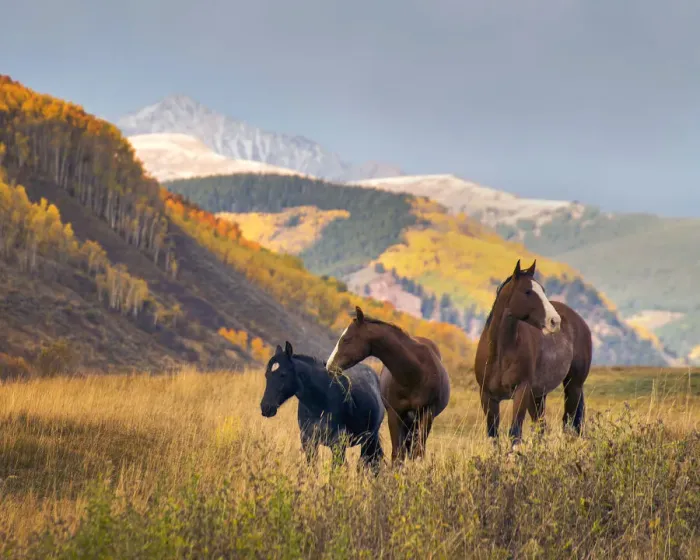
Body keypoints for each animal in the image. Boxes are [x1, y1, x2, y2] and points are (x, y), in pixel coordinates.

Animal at [260, 341, 385, 472]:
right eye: (267, 374)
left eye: (283, 374)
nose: (266, 407)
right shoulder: (308, 441)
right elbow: (312, 467)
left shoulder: (338, 442)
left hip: (369, 439)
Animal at [326, 306, 450, 464]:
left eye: (346, 339)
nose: (329, 365)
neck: (414, 374)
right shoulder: (394, 414)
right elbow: (397, 454)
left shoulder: (427, 413)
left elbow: (418, 452)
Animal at [474, 259, 592, 445]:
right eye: (527, 291)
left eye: (543, 290)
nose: (554, 321)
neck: (500, 354)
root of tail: (579, 321)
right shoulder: (488, 397)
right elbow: (494, 436)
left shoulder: (521, 392)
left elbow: (515, 433)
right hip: (538, 396)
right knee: (541, 428)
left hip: (573, 386)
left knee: (569, 423)